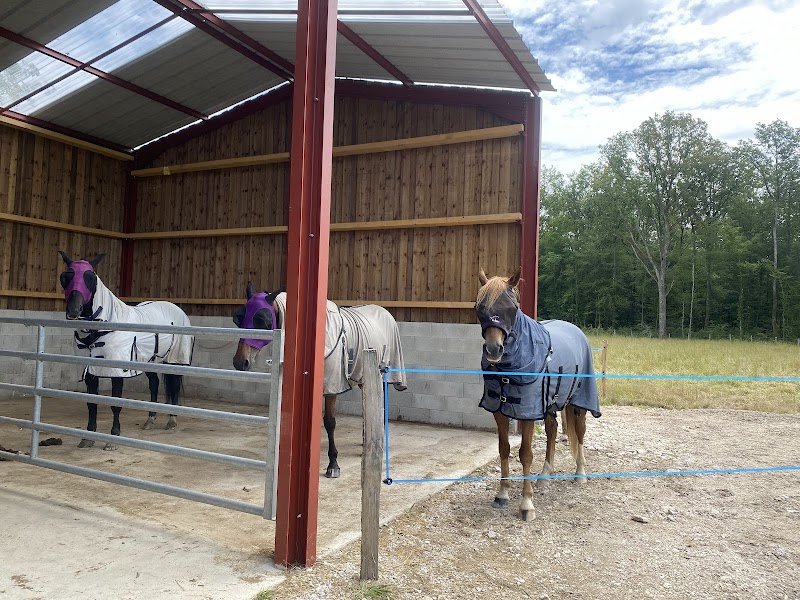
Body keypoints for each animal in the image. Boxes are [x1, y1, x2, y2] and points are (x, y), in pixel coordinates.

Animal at [58, 251, 194, 449]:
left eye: (91, 278)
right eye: (65, 277)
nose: (74, 310)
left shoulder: (117, 372)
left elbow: (116, 404)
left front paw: (113, 439)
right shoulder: (91, 373)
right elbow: (92, 403)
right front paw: (88, 437)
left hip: (175, 361)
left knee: (174, 387)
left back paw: (172, 421)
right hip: (149, 361)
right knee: (154, 384)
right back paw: (150, 420)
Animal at [232, 282, 407, 478]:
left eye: (263, 320)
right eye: (238, 319)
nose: (240, 362)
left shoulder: (331, 386)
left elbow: (329, 422)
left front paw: (333, 464)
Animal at [475, 267, 601, 520]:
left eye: (512, 308)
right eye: (480, 308)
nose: (494, 350)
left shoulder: (527, 413)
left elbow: (525, 454)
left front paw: (526, 505)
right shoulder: (499, 411)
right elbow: (504, 449)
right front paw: (502, 494)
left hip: (579, 403)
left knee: (580, 433)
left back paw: (580, 474)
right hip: (550, 404)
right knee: (552, 430)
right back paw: (544, 476)